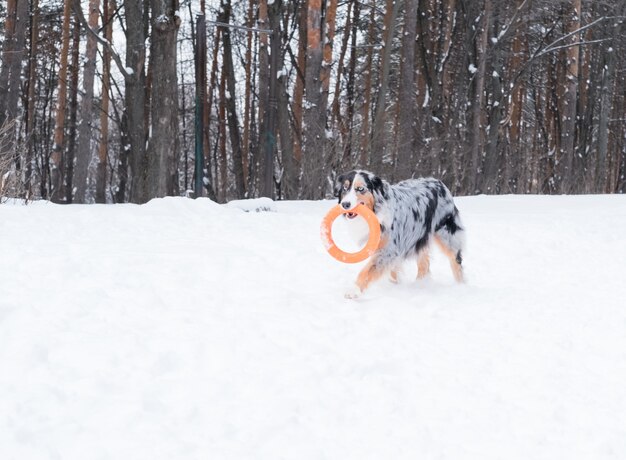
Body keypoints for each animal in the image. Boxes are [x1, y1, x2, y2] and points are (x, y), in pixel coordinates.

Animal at [334, 170, 460, 298]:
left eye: (360, 188)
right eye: (345, 188)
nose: (345, 204)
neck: (377, 212)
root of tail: (439, 182)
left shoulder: (388, 250)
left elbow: (368, 270)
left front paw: (353, 290)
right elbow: (393, 271)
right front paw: (394, 286)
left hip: (447, 234)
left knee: (455, 260)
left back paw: (460, 285)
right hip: (419, 236)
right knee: (424, 263)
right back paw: (420, 284)